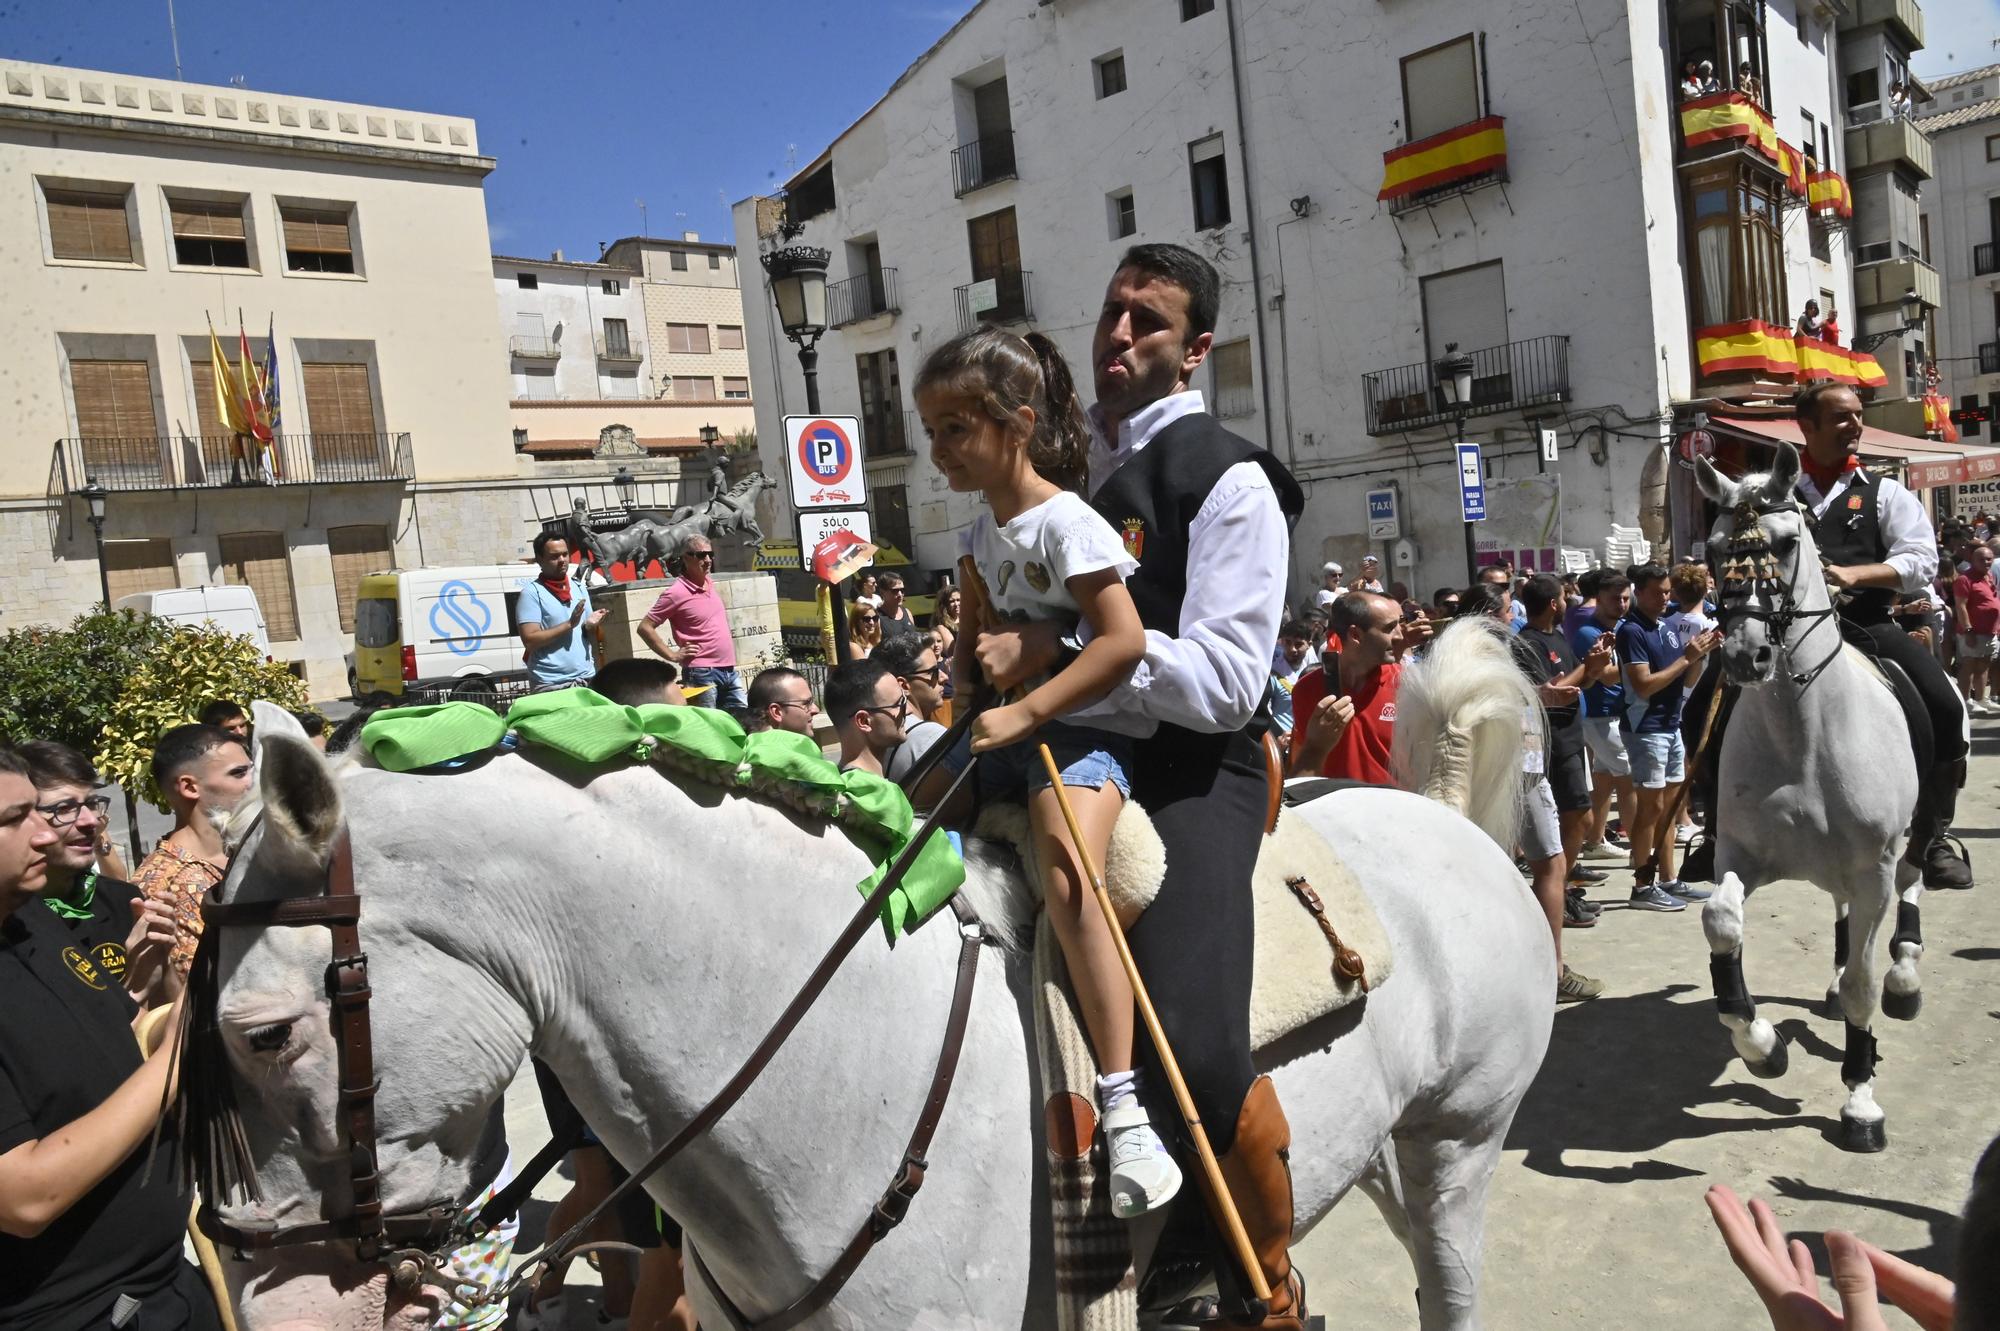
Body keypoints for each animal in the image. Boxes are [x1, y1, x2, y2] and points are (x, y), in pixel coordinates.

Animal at [1696, 447, 1928, 1151]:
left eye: (1788, 542)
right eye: (1713, 548)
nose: (1745, 655)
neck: (1804, 735)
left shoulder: (1874, 866)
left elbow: (1863, 987)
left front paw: (1861, 1101)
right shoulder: (1738, 857)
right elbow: (1722, 922)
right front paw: (1761, 1045)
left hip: (1910, 838)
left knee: (1914, 878)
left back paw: (1906, 975)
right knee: (1842, 911)